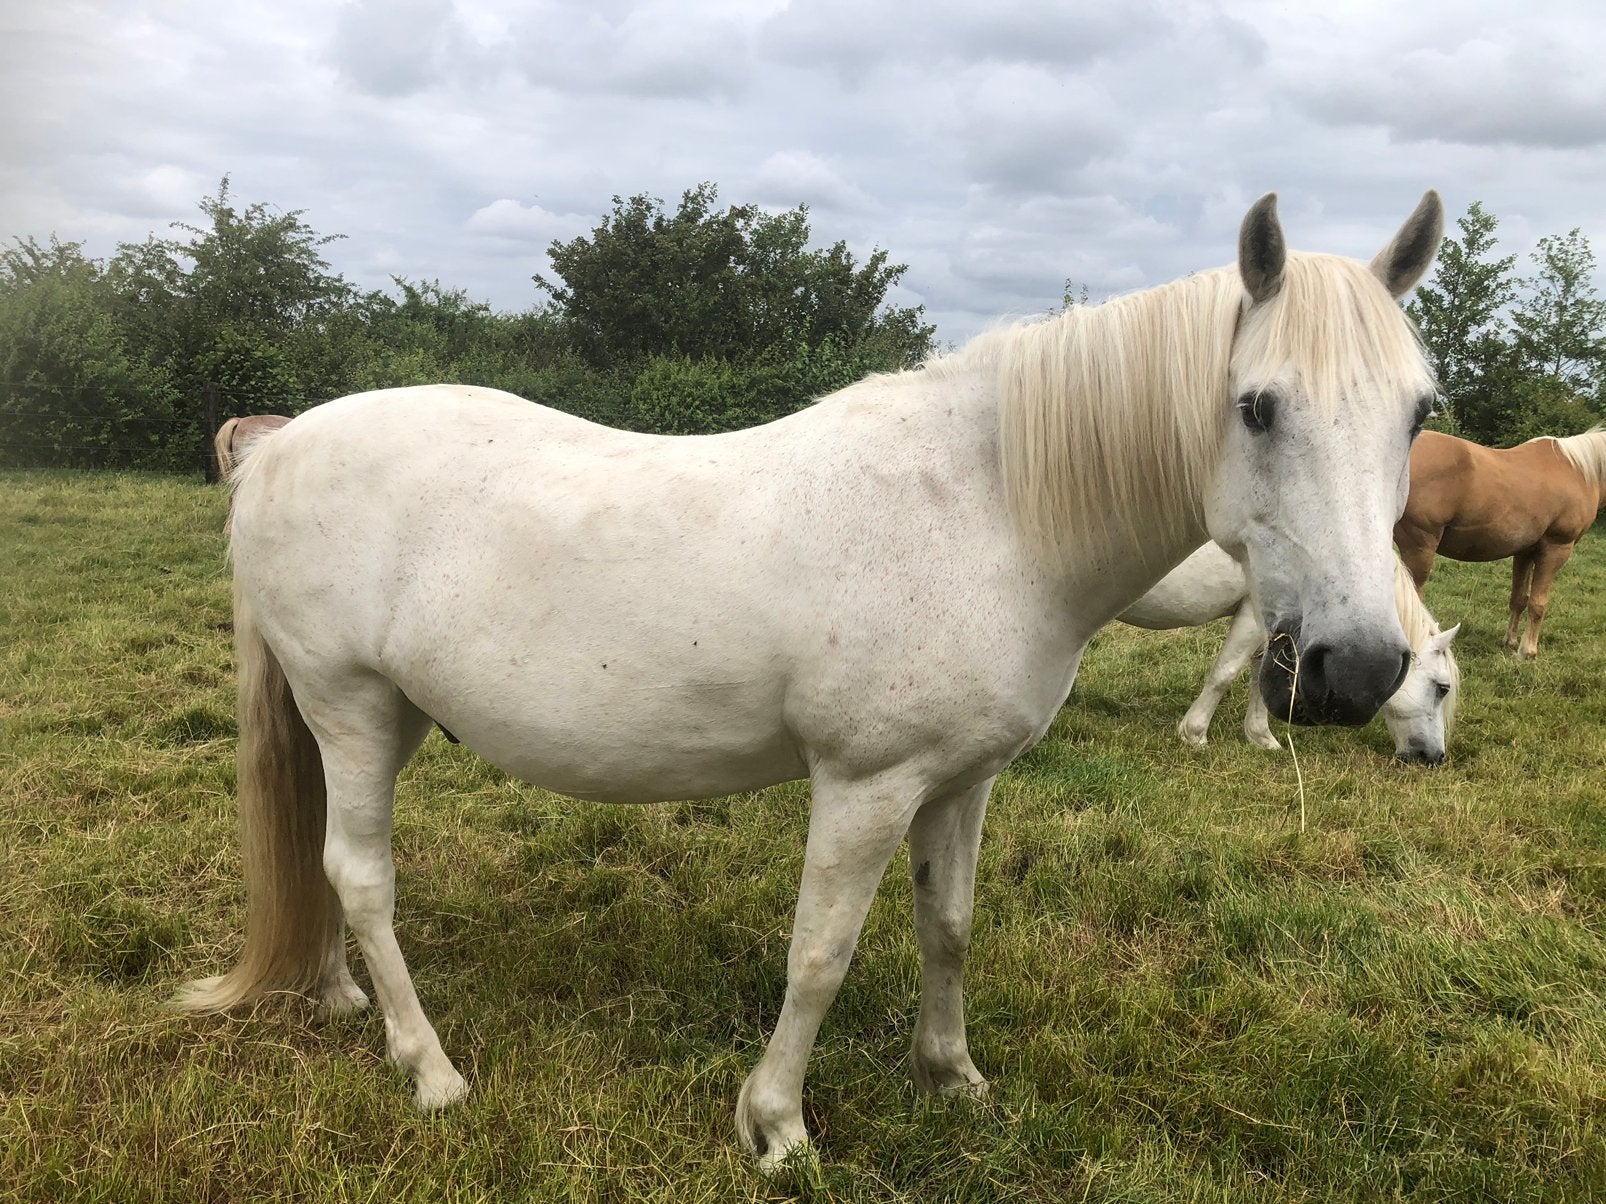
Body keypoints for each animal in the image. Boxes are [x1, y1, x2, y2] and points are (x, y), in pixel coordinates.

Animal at [1118, 542, 1460, 763]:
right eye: (1442, 688)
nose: (1434, 756)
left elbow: (1261, 677)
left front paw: (1261, 738)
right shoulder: (1253, 615)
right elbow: (1225, 674)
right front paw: (1194, 734)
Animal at [1394, 427, 1606, 658]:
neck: (1579, 471)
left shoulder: (1524, 552)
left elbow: (1519, 599)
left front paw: (1510, 641)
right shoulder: (1555, 549)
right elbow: (1538, 603)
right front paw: (1527, 651)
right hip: (1419, 547)